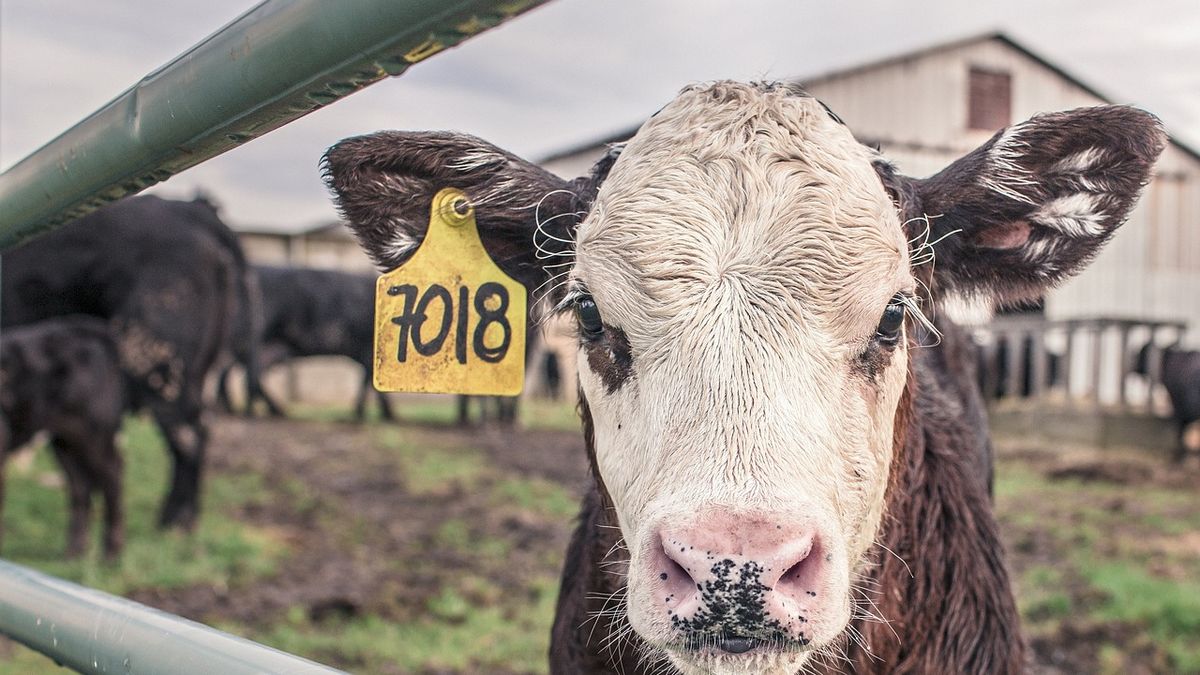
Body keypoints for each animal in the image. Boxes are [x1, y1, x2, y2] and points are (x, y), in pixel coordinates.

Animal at [0, 314, 128, 557]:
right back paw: (75, 551)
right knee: (80, 485)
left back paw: (110, 553)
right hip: (65, 439)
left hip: (94, 433)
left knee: (112, 475)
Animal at [216, 264, 393, 417]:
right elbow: (371, 382)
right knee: (248, 375)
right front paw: (383, 415)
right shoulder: (369, 350)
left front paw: (367, 413)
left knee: (242, 373)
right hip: (256, 340)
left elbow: (367, 380)